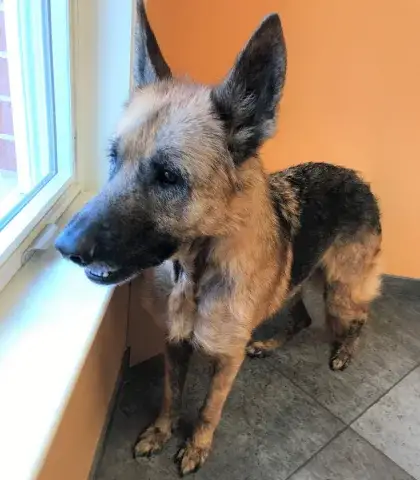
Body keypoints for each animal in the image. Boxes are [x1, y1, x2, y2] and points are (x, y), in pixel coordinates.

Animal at [55, 1, 382, 475]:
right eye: (114, 158)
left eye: (168, 176)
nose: (65, 248)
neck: (197, 273)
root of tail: (358, 178)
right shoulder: (174, 345)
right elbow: (170, 396)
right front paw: (161, 431)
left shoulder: (226, 360)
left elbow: (209, 408)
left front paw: (197, 446)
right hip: (297, 285)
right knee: (302, 318)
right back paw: (269, 343)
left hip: (340, 291)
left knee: (359, 317)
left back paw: (344, 351)